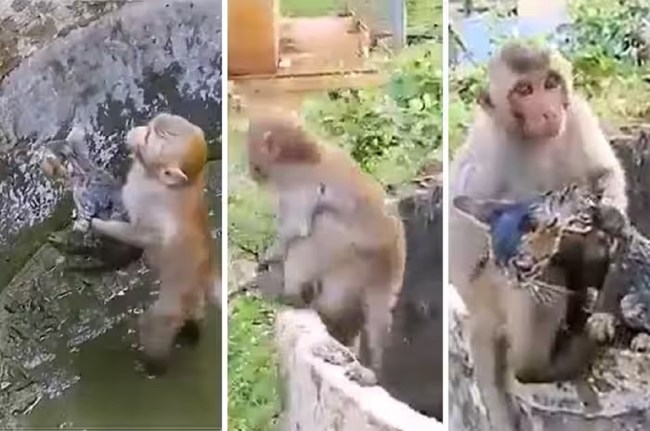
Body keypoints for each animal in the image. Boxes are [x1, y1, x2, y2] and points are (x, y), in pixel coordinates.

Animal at [90, 113, 221, 374]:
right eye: (150, 127)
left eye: (149, 136)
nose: (138, 129)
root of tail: (206, 273)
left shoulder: (154, 209)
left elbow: (143, 235)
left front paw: (97, 224)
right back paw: (193, 329)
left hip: (176, 295)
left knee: (156, 323)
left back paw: (154, 365)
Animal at [247, 112, 406, 376]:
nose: (251, 170)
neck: (306, 154)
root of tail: (391, 256)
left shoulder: (294, 185)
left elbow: (295, 229)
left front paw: (271, 257)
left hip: (352, 254)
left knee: (322, 224)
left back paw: (292, 295)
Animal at [449, 41, 628, 430]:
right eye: (524, 90)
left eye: (550, 83)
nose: (547, 111)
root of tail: (479, 316)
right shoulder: (491, 152)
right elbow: (479, 237)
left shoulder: (577, 114)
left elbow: (603, 174)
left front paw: (608, 220)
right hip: (495, 304)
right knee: (537, 278)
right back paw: (543, 364)